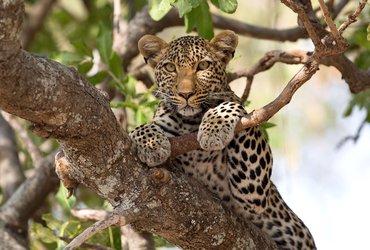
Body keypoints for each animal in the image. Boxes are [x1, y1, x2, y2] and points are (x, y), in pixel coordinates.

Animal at [129, 30, 316, 249]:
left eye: (203, 66)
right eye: (170, 68)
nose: (185, 94)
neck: (190, 121)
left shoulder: (253, 192)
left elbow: (232, 103)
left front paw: (213, 129)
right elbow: (138, 128)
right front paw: (152, 145)